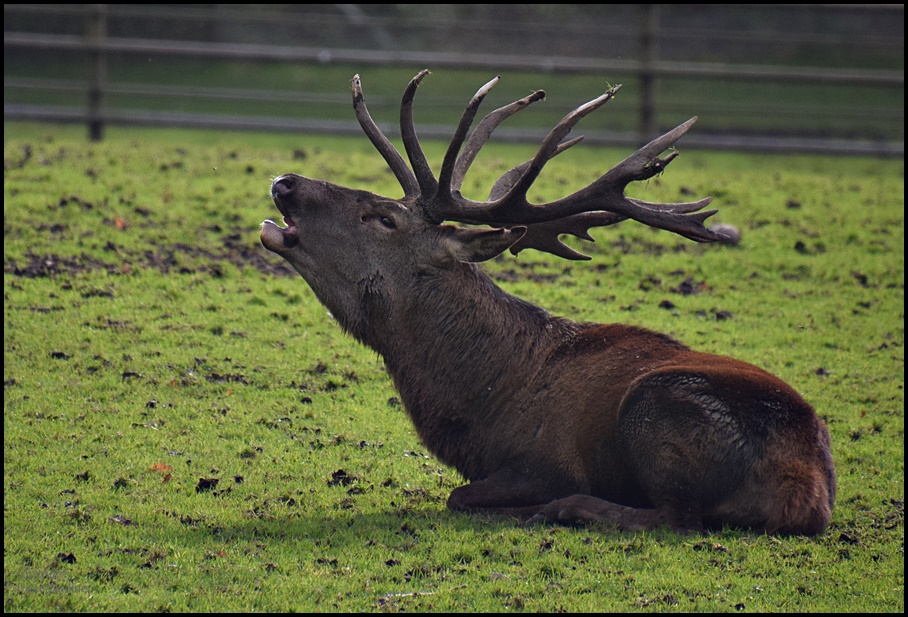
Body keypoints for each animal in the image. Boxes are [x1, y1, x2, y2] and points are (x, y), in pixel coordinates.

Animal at [258, 71, 832, 536]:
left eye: (383, 218)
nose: (284, 182)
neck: (482, 406)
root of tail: (808, 488)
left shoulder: (548, 462)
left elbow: (458, 495)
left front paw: (530, 506)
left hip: (657, 408)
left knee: (678, 517)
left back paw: (562, 510)